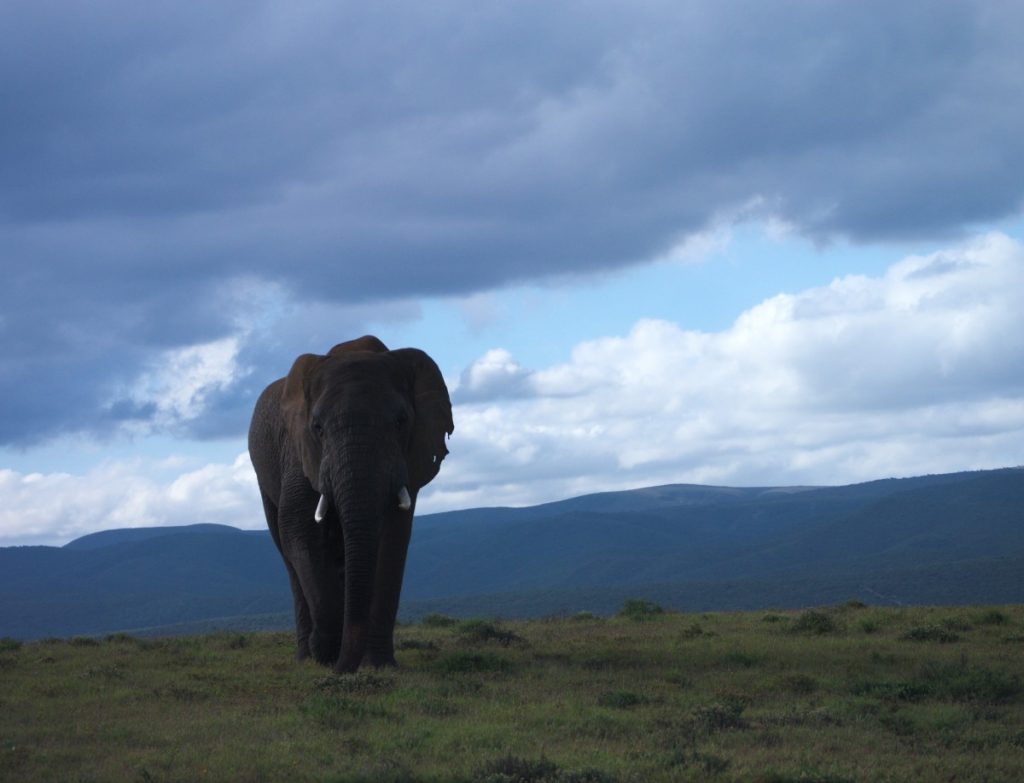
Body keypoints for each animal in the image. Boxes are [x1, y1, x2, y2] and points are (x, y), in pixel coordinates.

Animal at [247, 333, 452, 667]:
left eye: (401, 421)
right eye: (317, 428)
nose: (341, 668)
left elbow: (393, 538)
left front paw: (378, 665)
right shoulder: (298, 450)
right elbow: (299, 528)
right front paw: (325, 650)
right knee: (287, 554)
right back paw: (306, 656)